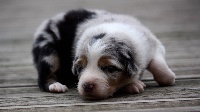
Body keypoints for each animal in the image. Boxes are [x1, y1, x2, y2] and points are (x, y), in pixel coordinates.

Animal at [32, 9, 175, 100]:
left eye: (110, 68)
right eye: (80, 67)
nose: (86, 86)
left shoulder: (154, 44)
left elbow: (159, 65)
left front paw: (169, 77)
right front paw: (133, 84)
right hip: (49, 53)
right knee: (44, 77)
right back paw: (56, 86)